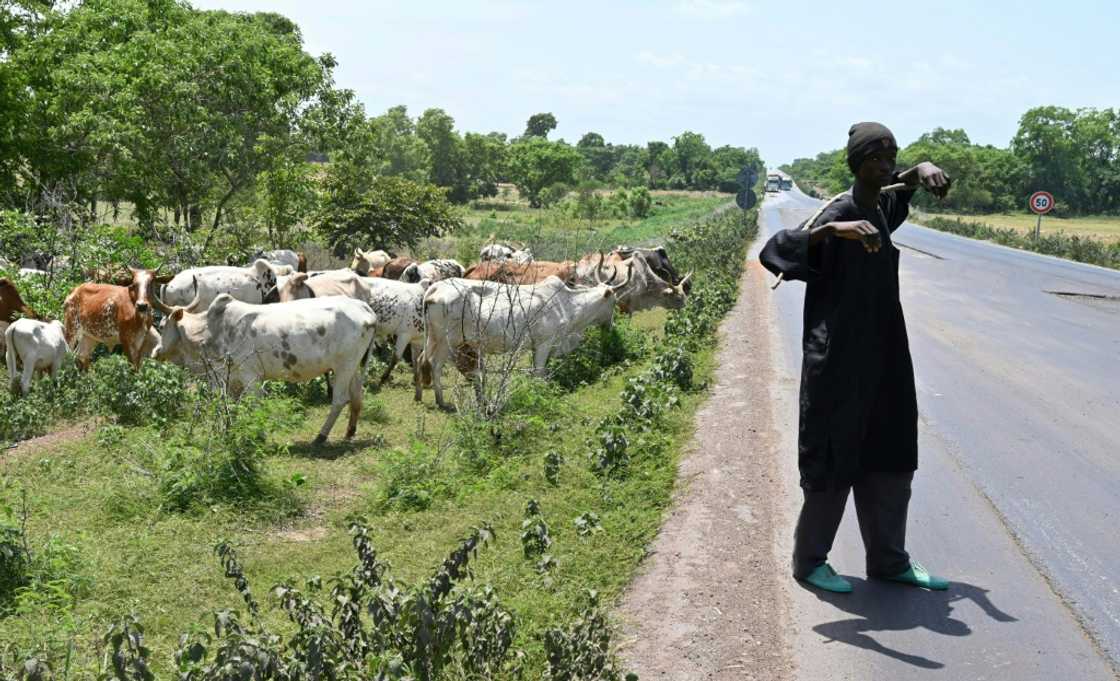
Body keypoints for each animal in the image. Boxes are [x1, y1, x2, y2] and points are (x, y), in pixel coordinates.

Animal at [151, 293, 378, 443]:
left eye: (161, 326)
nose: (156, 351)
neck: (212, 331)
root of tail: (364, 308)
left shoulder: (251, 376)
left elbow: (253, 405)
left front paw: (256, 435)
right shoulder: (229, 379)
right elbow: (232, 407)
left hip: (343, 367)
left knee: (340, 399)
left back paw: (320, 437)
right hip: (353, 367)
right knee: (357, 397)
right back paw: (349, 432)